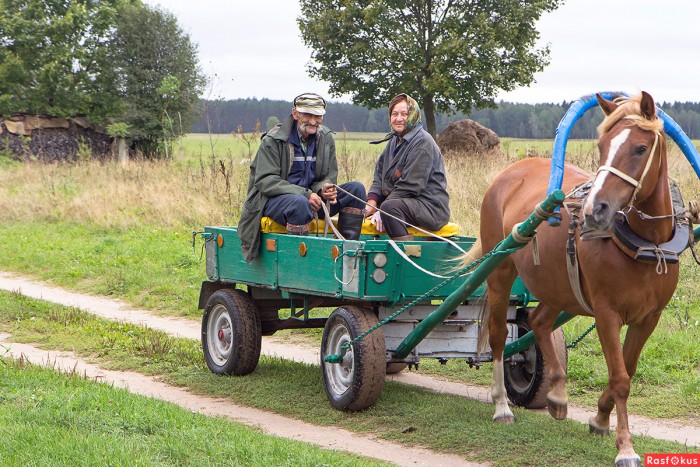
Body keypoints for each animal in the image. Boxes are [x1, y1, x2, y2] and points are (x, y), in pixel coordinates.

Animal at [476, 92, 680, 467]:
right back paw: (501, 405)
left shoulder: (649, 318)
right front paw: (625, 447)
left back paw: (557, 391)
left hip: (557, 286)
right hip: (500, 271)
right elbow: (620, 377)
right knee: (498, 337)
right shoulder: (606, 314)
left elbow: (626, 369)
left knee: (539, 322)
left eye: (640, 148)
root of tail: (509, 173)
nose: (595, 210)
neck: (645, 245)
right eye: (601, 146)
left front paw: (600, 418)